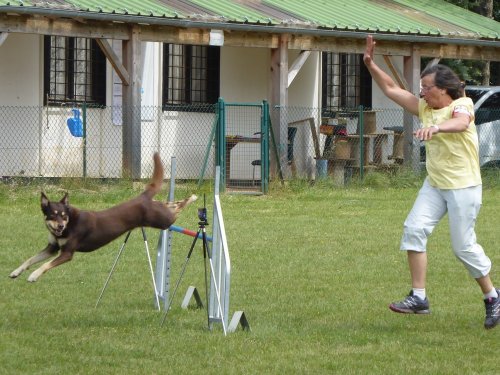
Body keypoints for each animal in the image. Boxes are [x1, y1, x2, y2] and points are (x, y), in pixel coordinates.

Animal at [9, 153, 197, 282]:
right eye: (53, 216)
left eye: (64, 216)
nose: (61, 226)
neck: (69, 226)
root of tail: (142, 196)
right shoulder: (52, 248)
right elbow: (31, 259)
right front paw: (16, 271)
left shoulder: (67, 253)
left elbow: (44, 265)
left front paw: (34, 275)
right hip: (160, 213)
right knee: (170, 204)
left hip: (163, 220)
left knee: (177, 209)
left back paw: (191, 198)